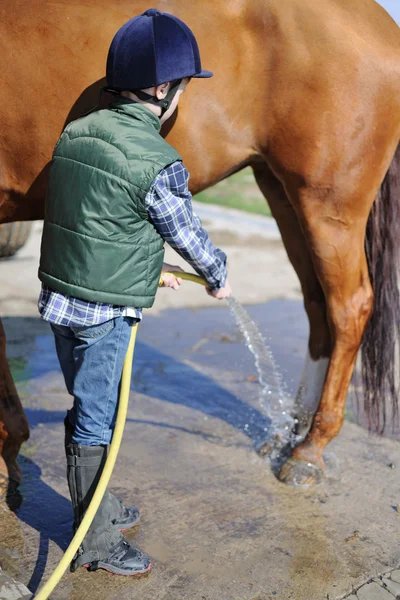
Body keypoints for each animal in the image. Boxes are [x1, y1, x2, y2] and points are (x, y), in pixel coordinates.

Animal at [0, 0, 400, 488]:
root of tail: (383, 23)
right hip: (283, 193)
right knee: (317, 303)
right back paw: (290, 433)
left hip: (330, 202)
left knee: (350, 305)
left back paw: (310, 450)